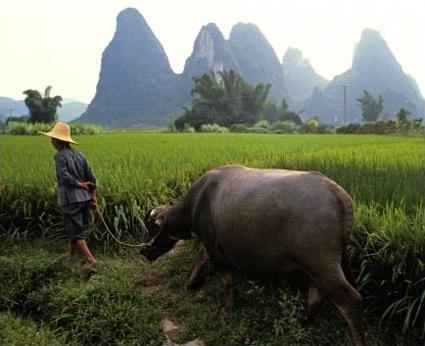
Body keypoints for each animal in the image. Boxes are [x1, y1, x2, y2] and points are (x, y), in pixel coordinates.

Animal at [140, 166, 364, 344]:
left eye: (152, 228)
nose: (143, 251)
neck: (196, 201)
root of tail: (342, 198)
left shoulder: (215, 249)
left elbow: (227, 280)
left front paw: (227, 308)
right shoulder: (210, 244)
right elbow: (201, 259)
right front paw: (190, 282)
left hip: (321, 263)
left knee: (350, 300)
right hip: (316, 266)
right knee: (317, 295)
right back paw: (303, 321)